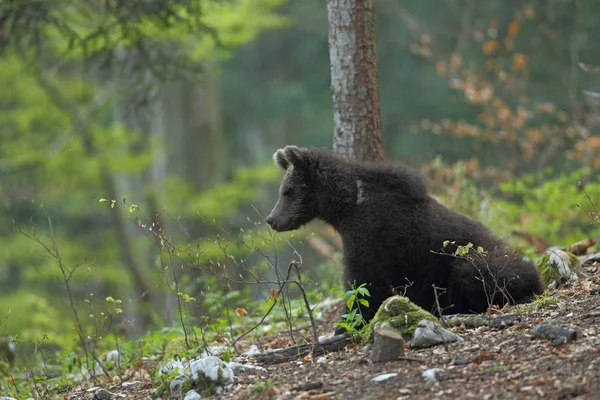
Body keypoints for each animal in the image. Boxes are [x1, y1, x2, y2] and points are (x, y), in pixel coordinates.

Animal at [266, 145, 544, 326]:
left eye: (288, 191)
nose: (272, 219)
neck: (346, 207)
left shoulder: (370, 234)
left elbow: (363, 281)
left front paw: (350, 323)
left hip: (478, 258)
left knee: (475, 270)